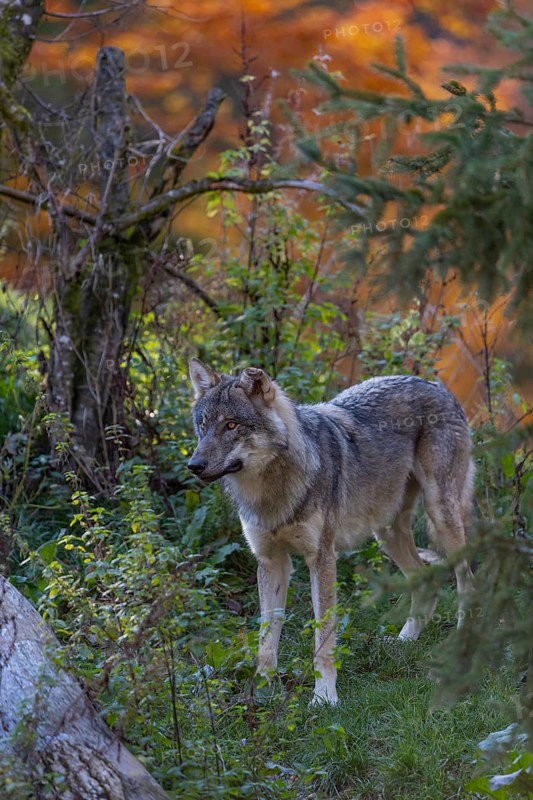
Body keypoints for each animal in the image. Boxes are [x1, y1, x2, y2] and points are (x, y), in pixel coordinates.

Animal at [188, 359, 475, 705]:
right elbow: (266, 638)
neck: (272, 490)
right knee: (425, 576)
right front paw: (262, 688)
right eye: (203, 425)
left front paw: (324, 696)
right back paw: (406, 638)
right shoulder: (272, 562)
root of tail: (438, 385)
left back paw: (463, 641)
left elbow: (323, 635)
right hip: (386, 531)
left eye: (231, 425)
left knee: (465, 579)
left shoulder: (322, 558)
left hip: (440, 512)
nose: (194, 465)